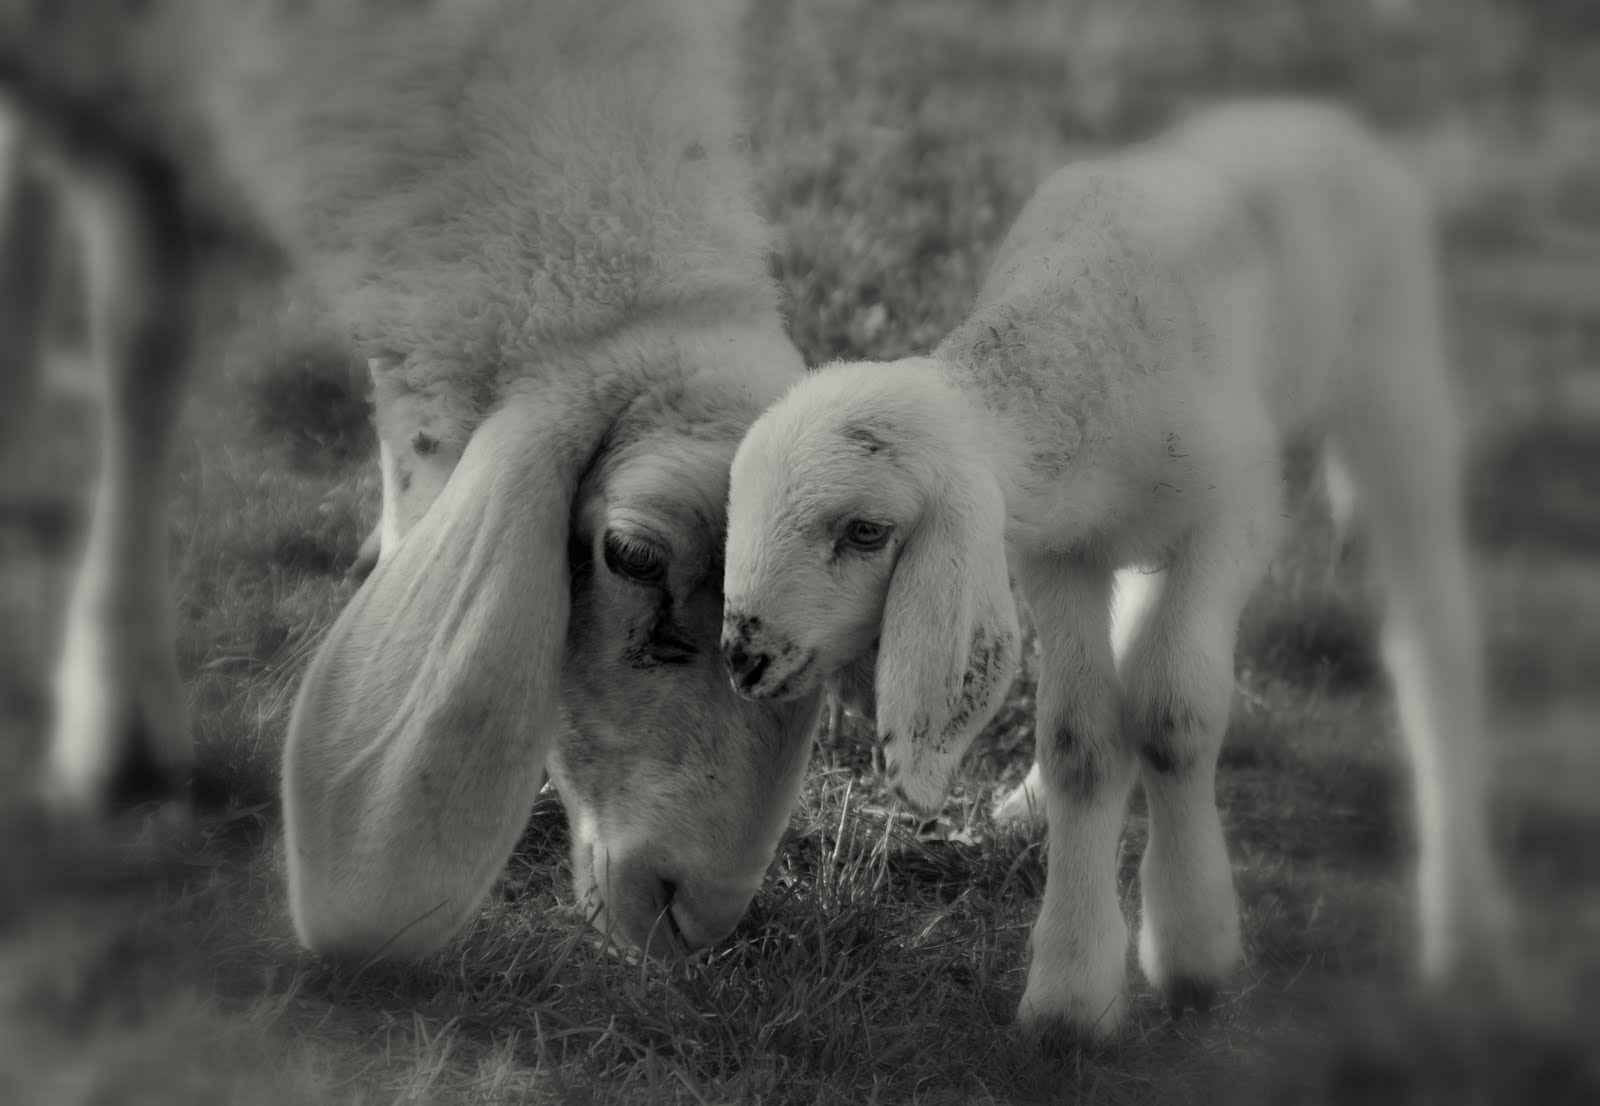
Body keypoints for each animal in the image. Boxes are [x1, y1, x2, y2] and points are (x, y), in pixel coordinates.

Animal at [723, 101, 1510, 1037]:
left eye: (866, 531)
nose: (742, 656)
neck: (1080, 345)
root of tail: (1311, 112)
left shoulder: (1233, 516)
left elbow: (1175, 713)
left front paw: (1194, 950)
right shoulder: (1058, 555)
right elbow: (1083, 741)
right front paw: (1070, 991)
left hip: (1395, 386)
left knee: (1433, 639)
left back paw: (1461, 918)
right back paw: (1028, 809)